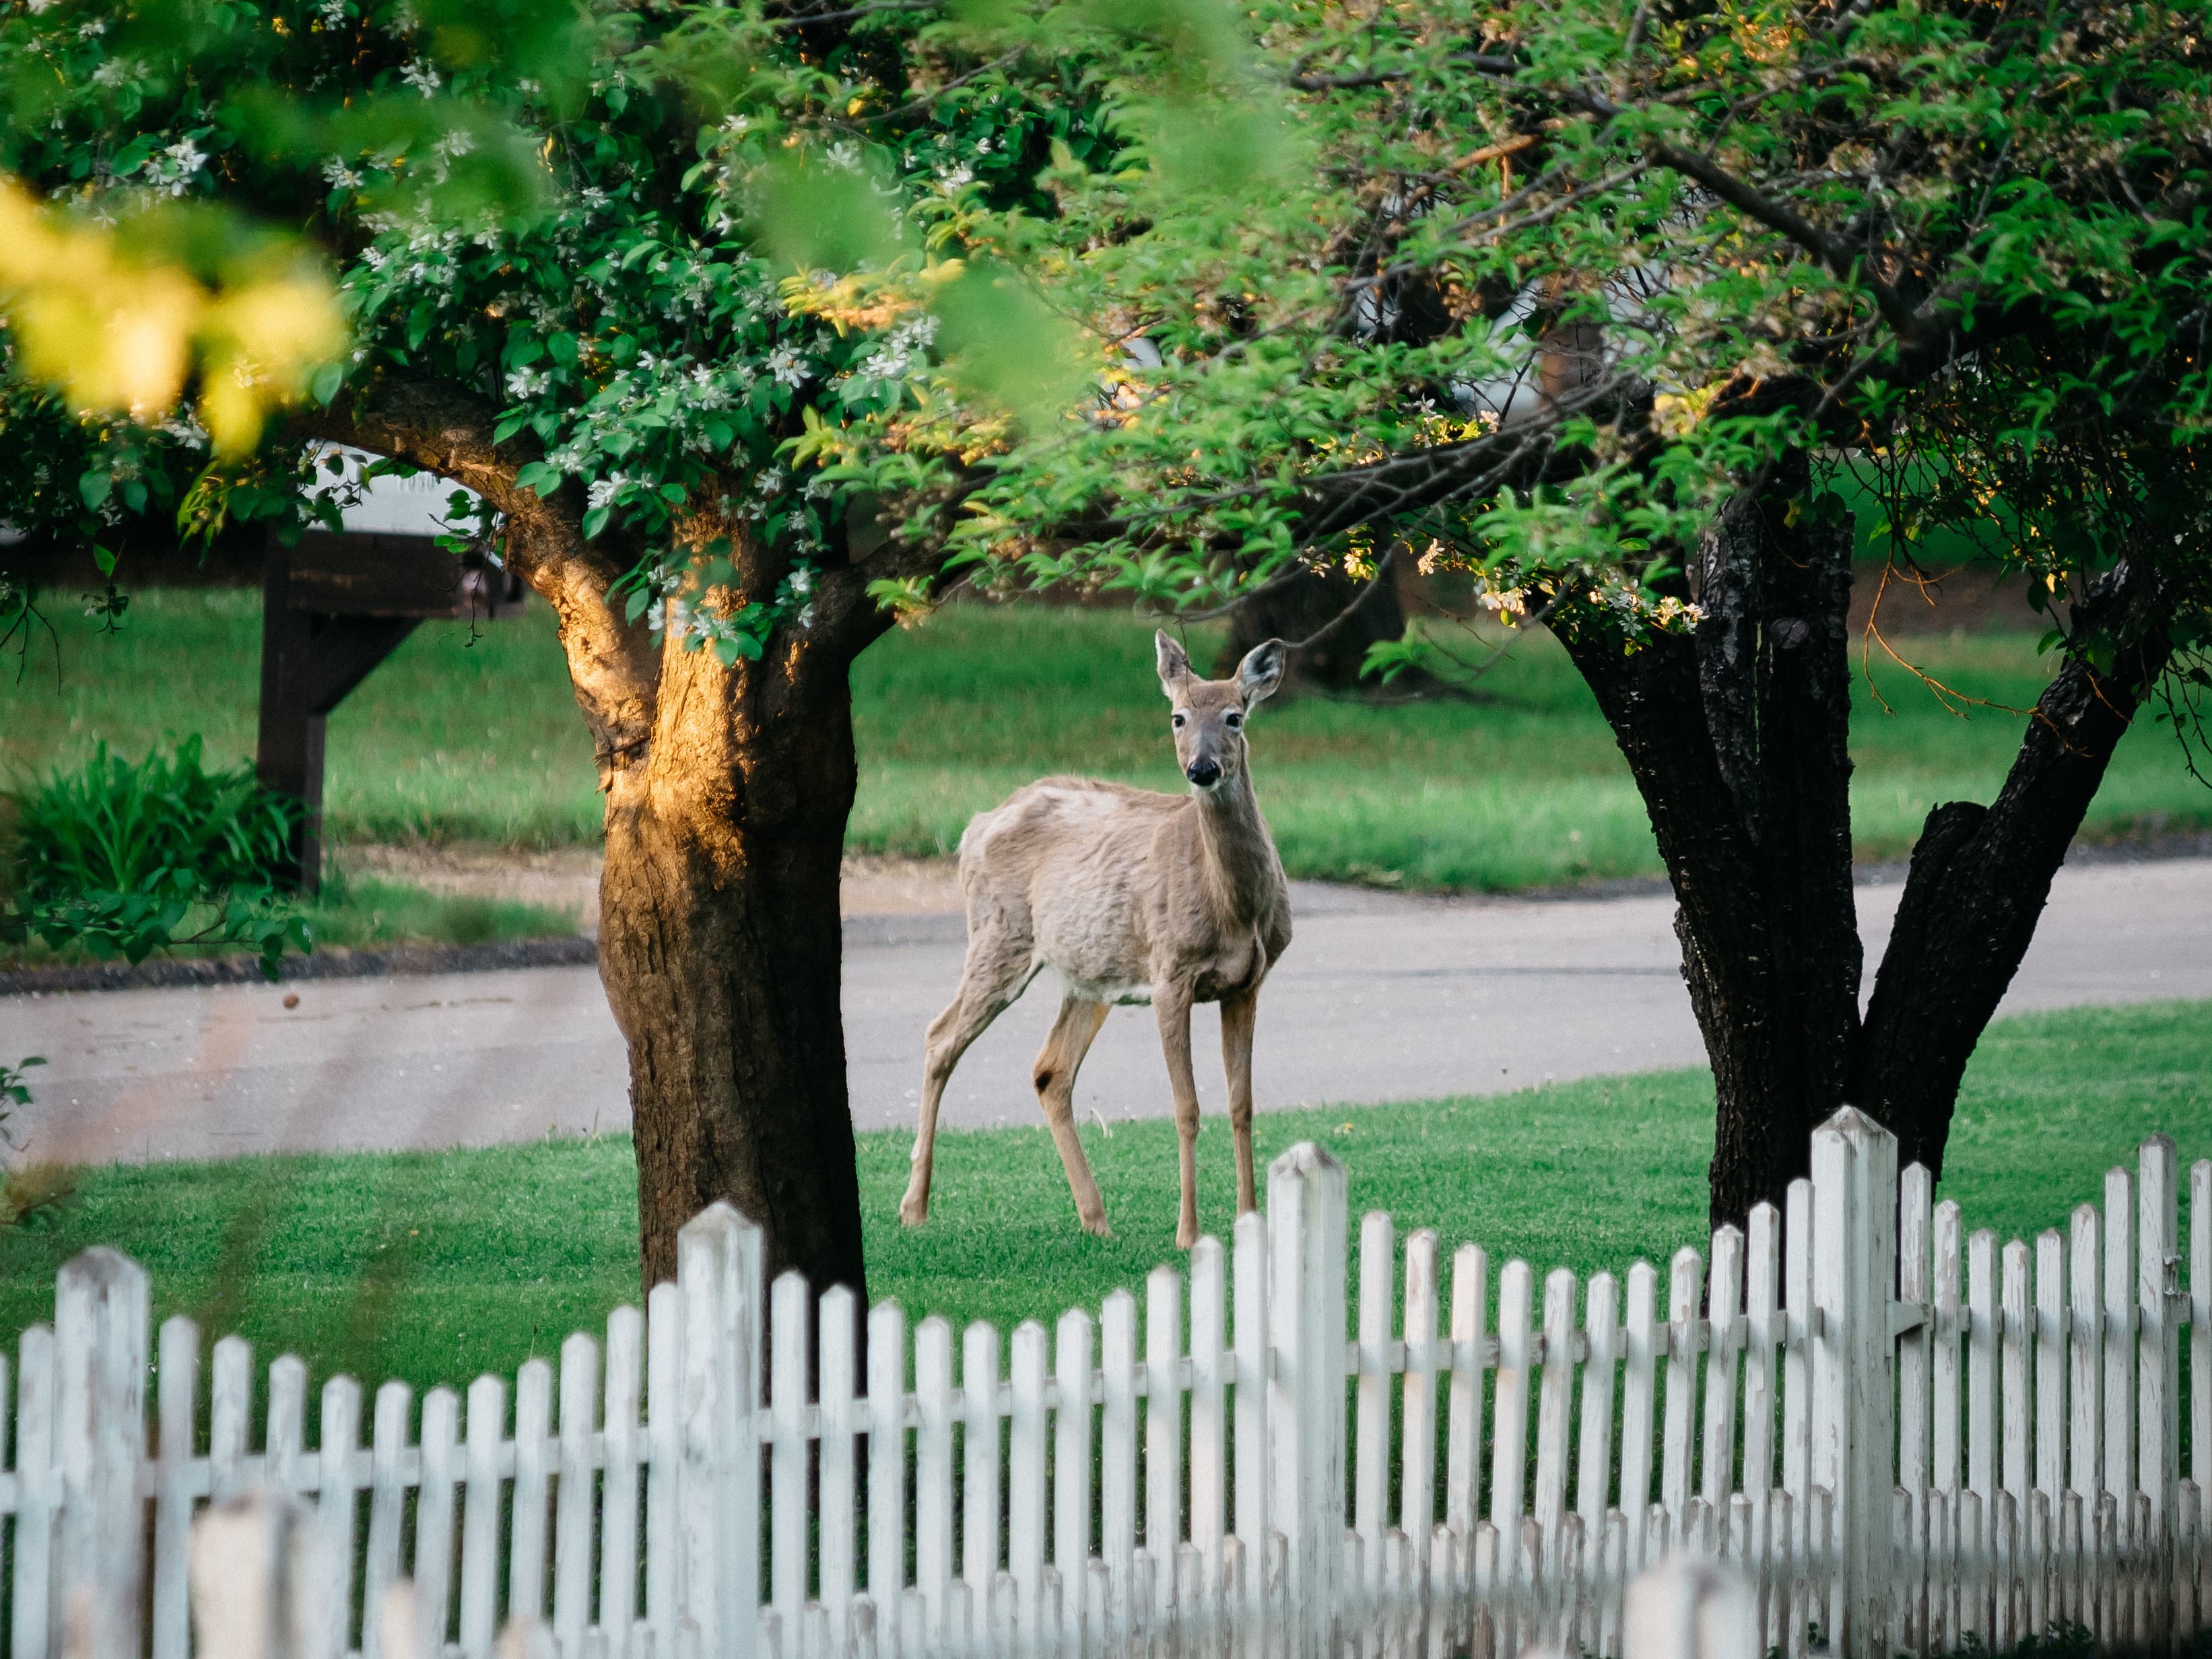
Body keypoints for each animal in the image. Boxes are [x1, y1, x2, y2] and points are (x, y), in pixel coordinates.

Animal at [898, 631, 1293, 1248]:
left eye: (1235, 716)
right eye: (1177, 717)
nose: (1201, 769)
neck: (1234, 908)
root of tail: (974, 826)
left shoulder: (1248, 982)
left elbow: (1242, 1104)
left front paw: (1249, 1222)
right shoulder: (1170, 975)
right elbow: (1187, 1108)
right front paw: (1187, 1234)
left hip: (1087, 974)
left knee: (1049, 1071)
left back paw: (1095, 1218)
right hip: (998, 934)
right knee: (940, 1037)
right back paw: (913, 1208)